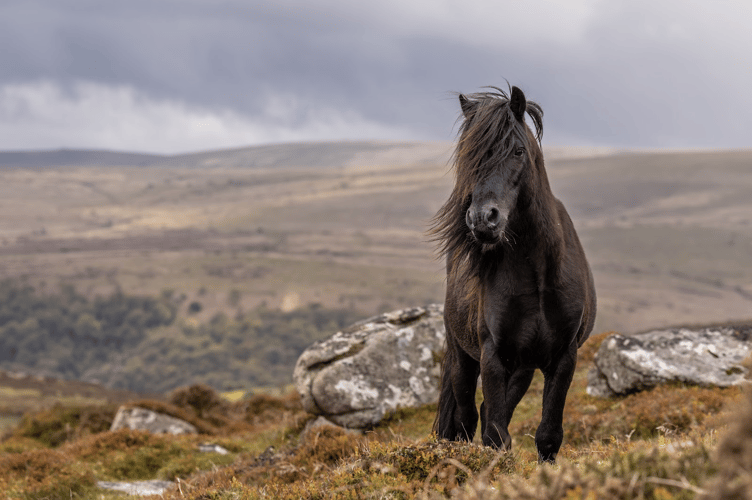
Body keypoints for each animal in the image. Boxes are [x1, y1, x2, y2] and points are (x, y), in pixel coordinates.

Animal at [429, 85, 596, 463]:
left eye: (518, 151)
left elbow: (547, 435)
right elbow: (495, 435)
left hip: (523, 369)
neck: (538, 275)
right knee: (465, 417)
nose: (482, 219)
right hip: (463, 357)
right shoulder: (492, 355)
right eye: (469, 155)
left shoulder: (563, 357)